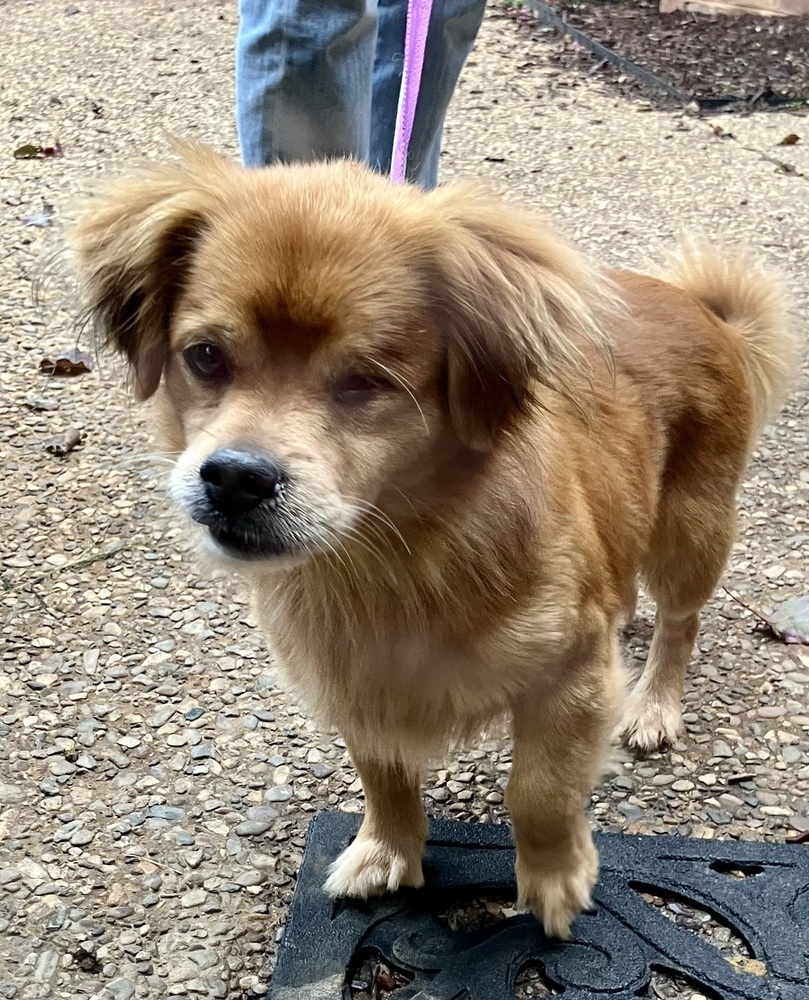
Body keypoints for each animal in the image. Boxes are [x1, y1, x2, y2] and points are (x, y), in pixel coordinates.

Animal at [72, 148, 800, 936]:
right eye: (205, 357)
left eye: (364, 381)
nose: (235, 477)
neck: (394, 554)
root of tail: (700, 308)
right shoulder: (361, 686)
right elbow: (382, 774)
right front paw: (388, 849)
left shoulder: (571, 681)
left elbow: (539, 790)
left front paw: (553, 880)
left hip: (691, 531)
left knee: (680, 621)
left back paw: (655, 704)